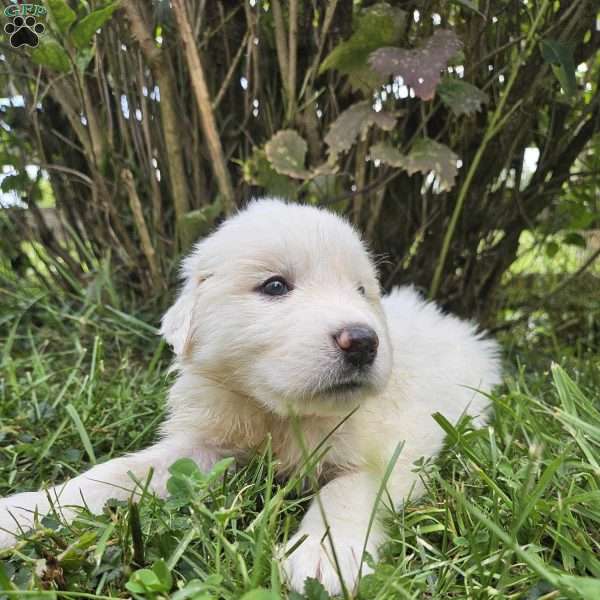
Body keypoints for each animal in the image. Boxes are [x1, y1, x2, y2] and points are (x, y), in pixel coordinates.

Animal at [1, 199, 502, 592]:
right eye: (275, 286)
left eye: (362, 291)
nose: (363, 341)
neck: (280, 414)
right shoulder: (203, 443)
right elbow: (113, 474)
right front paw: (21, 512)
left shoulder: (393, 448)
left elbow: (346, 489)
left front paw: (323, 557)